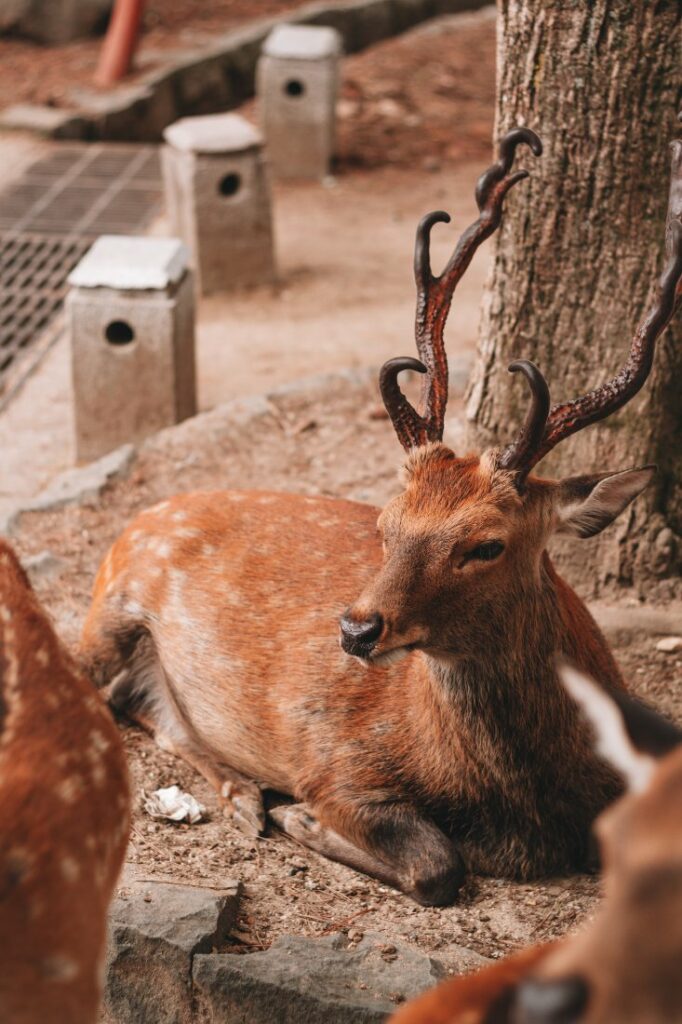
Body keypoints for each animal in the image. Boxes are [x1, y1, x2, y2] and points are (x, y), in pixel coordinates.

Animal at [79, 128, 679, 905]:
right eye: (387, 524)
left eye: (486, 544)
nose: (356, 630)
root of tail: (141, 516)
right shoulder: (336, 758)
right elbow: (437, 863)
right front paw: (302, 820)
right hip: (108, 609)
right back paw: (248, 800)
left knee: (146, 704)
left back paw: (242, 797)